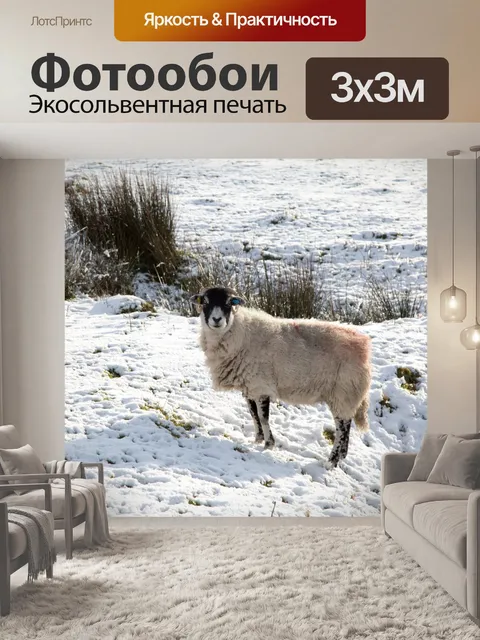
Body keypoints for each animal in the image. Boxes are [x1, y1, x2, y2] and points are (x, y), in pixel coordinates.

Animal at [191, 286, 371, 468]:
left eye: (229, 303)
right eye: (205, 302)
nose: (217, 319)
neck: (240, 332)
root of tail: (363, 345)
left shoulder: (261, 386)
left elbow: (263, 417)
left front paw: (268, 444)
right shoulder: (249, 386)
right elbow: (253, 414)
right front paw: (257, 440)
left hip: (344, 392)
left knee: (342, 428)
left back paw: (331, 462)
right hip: (345, 395)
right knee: (347, 424)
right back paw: (341, 456)